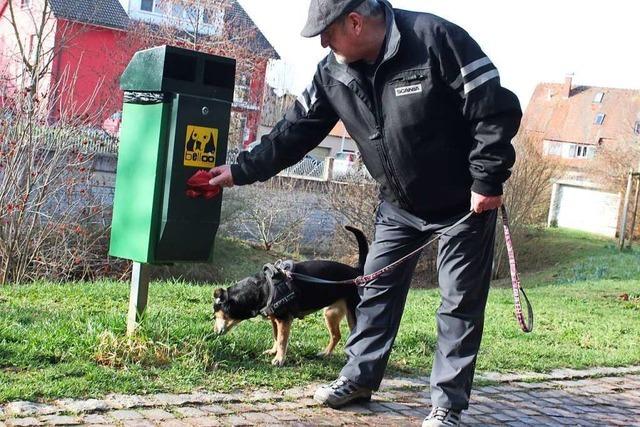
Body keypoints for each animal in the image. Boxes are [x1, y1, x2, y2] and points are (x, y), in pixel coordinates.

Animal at [212, 227, 368, 368]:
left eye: (215, 315)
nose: (213, 331)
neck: (262, 288)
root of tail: (357, 271)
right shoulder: (275, 320)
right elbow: (276, 337)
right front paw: (273, 352)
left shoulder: (284, 320)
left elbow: (282, 340)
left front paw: (279, 359)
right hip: (331, 313)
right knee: (336, 335)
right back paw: (325, 354)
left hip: (353, 316)